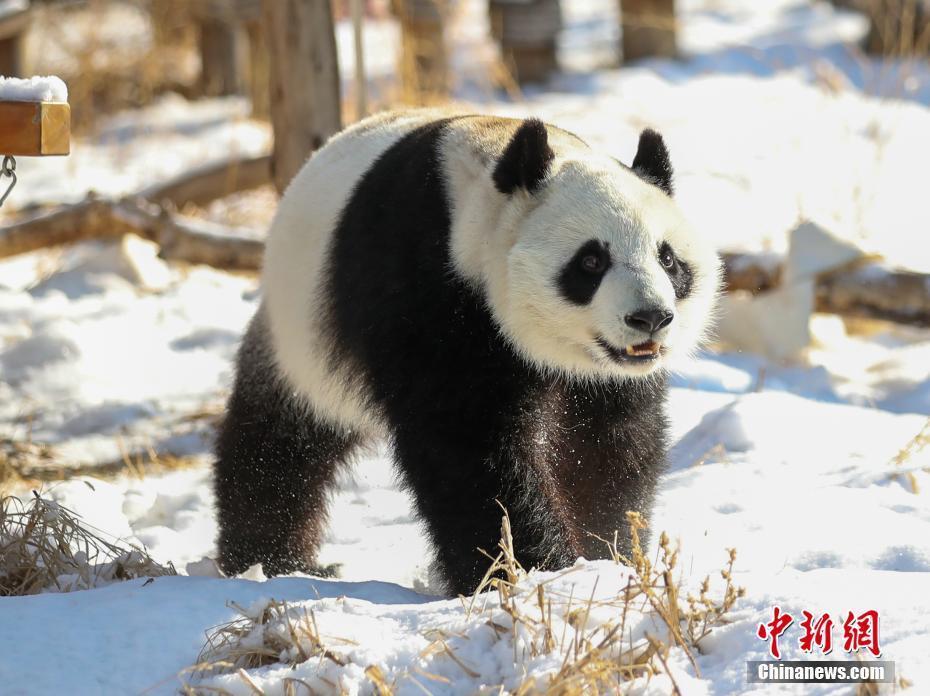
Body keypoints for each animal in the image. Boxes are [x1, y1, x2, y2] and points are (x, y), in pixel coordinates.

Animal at [214, 110, 720, 600]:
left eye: (668, 259)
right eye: (592, 261)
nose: (650, 318)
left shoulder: (608, 377)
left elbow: (606, 448)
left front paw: (607, 555)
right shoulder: (429, 292)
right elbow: (468, 450)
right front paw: (527, 571)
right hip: (298, 336)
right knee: (280, 443)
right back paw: (272, 560)